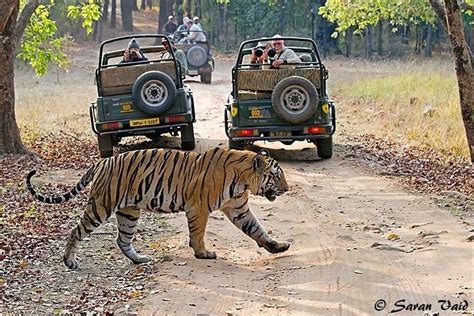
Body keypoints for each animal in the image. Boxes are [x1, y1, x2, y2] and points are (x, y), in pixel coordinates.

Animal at [27, 148, 290, 270]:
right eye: (277, 176)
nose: (287, 189)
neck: (243, 179)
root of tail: (102, 161)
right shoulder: (198, 208)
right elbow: (198, 233)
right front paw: (202, 253)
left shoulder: (239, 209)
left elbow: (257, 229)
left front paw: (278, 247)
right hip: (101, 205)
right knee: (76, 231)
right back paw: (69, 261)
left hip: (129, 211)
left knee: (122, 240)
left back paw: (139, 259)